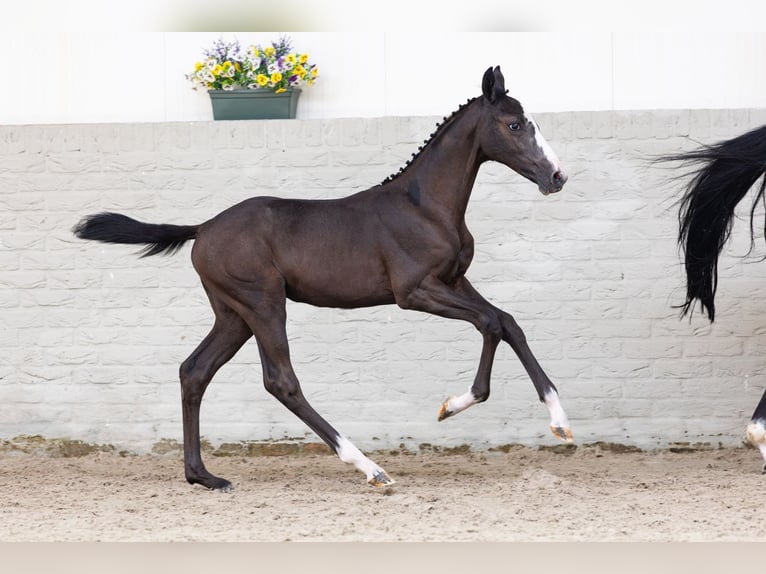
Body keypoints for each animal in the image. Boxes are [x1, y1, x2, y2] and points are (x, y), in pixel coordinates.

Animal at [73, 66, 572, 490]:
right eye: (515, 125)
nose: (557, 176)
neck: (424, 206)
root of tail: (203, 227)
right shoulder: (416, 291)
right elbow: (490, 323)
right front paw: (455, 405)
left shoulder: (455, 282)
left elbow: (507, 322)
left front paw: (558, 422)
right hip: (263, 304)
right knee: (281, 381)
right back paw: (368, 467)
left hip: (233, 315)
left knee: (194, 371)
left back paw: (203, 477)